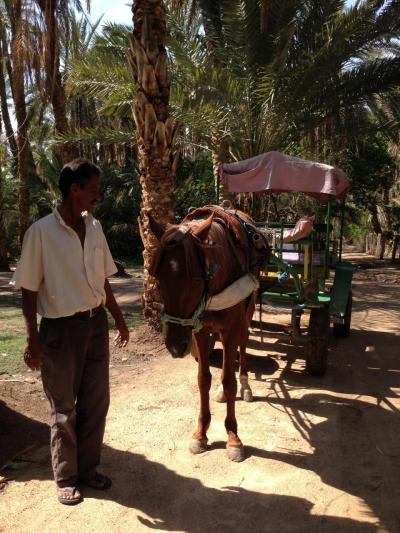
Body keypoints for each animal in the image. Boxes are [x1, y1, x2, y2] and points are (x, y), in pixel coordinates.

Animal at [148, 206, 268, 460]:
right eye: (159, 282)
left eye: (195, 281)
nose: (175, 347)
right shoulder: (199, 331)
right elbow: (203, 379)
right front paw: (201, 433)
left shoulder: (231, 327)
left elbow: (229, 380)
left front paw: (233, 437)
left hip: (247, 311)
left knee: (243, 343)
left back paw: (245, 385)